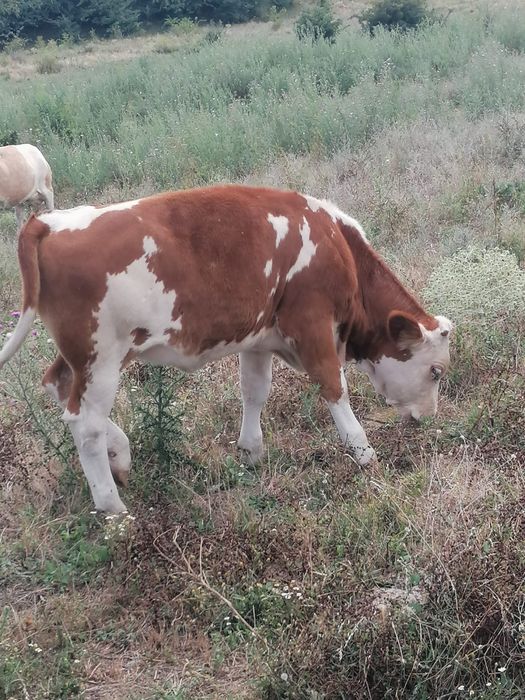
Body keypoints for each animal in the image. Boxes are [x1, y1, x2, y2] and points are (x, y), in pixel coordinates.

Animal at [0, 185, 451, 513]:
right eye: (435, 371)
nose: (427, 418)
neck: (334, 242)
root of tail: (50, 221)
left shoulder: (259, 338)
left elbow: (254, 391)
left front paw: (251, 451)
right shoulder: (313, 325)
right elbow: (333, 388)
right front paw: (364, 453)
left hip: (83, 358)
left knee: (58, 387)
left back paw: (120, 454)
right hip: (103, 358)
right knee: (85, 424)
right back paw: (114, 509)